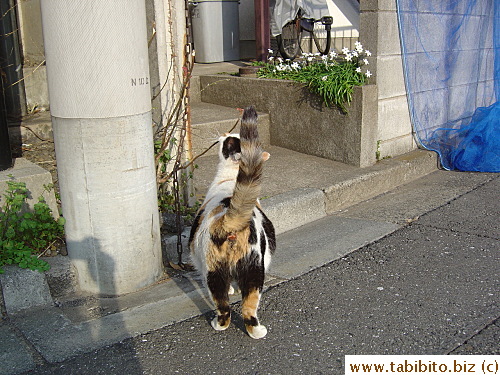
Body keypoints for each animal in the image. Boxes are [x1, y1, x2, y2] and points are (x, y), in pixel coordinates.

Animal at [189, 106, 278, 340]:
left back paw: (219, 323)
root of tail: (228, 222)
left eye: (229, 141)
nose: (223, 133)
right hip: (254, 270)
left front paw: (232, 289)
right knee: (244, 308)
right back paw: (255, 332)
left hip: (214, 269)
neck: (230, 179)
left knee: (225, 306)